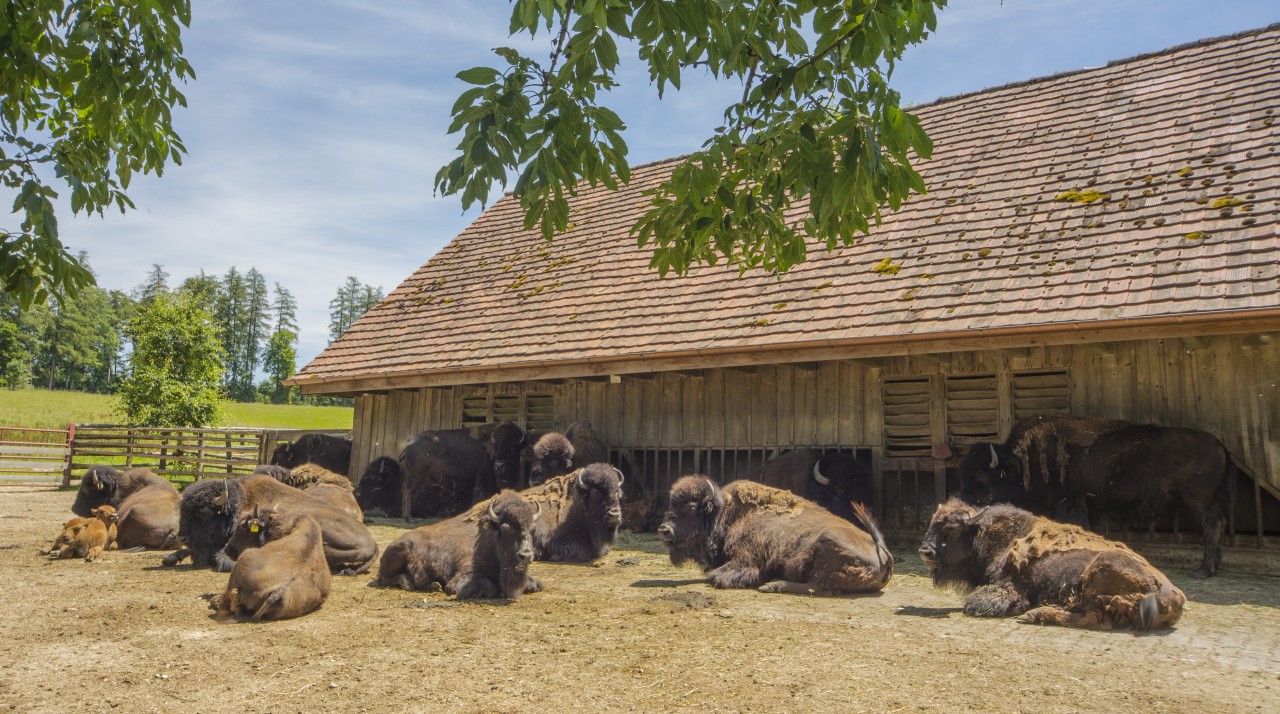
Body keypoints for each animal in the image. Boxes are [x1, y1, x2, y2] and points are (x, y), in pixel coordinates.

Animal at [159, 476, 373, 575]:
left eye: (203, 512)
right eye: (183, 510)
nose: (182, 536)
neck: (239, 504)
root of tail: (371, 543)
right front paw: (169, 558)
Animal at [376, 488, 542, 601]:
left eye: (533, 530)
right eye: (505, 529)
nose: (525, 555)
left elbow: (536, 584)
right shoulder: (464, 574)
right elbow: (489, 587)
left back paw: (434, 585)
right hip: (400, 552)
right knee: (385, 578)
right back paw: (408, 583)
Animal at [660, 481, 890, 598]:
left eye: (691, 508)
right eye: (671, 504)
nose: (664, 530)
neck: (727, 513)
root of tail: (883, 552)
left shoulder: (745, 559)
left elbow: (716, 576)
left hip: (826, 543)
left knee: (818, 587)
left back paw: (772, 585)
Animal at [916, 501, 1182, 629]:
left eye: (951, 529)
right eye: (932, 522)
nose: (925, 552)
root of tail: (1173, 596)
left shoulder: (1008, 587)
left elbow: (975, 604)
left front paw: (1019, 609)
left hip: (1100, 572)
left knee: (1093, 619)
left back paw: (1034, 614)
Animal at [962, 417, 1239, 578]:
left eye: (983, 476)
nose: (966, 503)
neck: (1021, 462)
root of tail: (1220, 445)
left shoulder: (1070, 503)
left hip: (1198, 501)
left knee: (1212, 526)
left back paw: (1203, 571)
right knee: (1220, 524)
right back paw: (1216, 567)